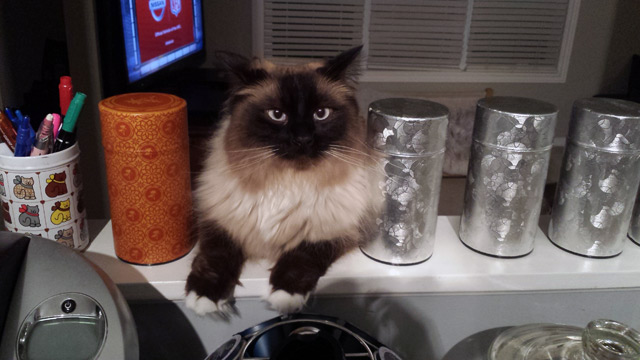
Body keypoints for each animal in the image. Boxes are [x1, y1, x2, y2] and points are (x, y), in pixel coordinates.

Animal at [185, 47, 380, 316]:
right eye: (277, 115)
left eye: (321, 114)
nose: (303, 139)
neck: (287, 178)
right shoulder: (222, 221)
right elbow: (215, 256)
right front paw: (203, 297)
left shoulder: (331, 231)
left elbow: (300, 259)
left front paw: (284, 297)